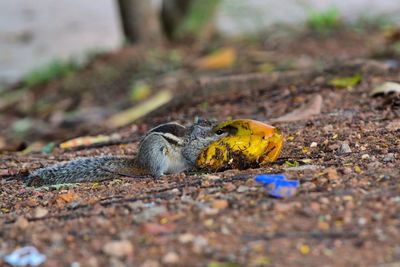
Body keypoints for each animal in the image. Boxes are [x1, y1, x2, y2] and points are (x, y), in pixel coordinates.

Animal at [24, 120, 228, 187]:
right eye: (218, 131)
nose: (229, 131)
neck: (193, 136)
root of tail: (140, 163)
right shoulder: (189, 149)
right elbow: (191, 156)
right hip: (157, 153)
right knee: (155, 173)